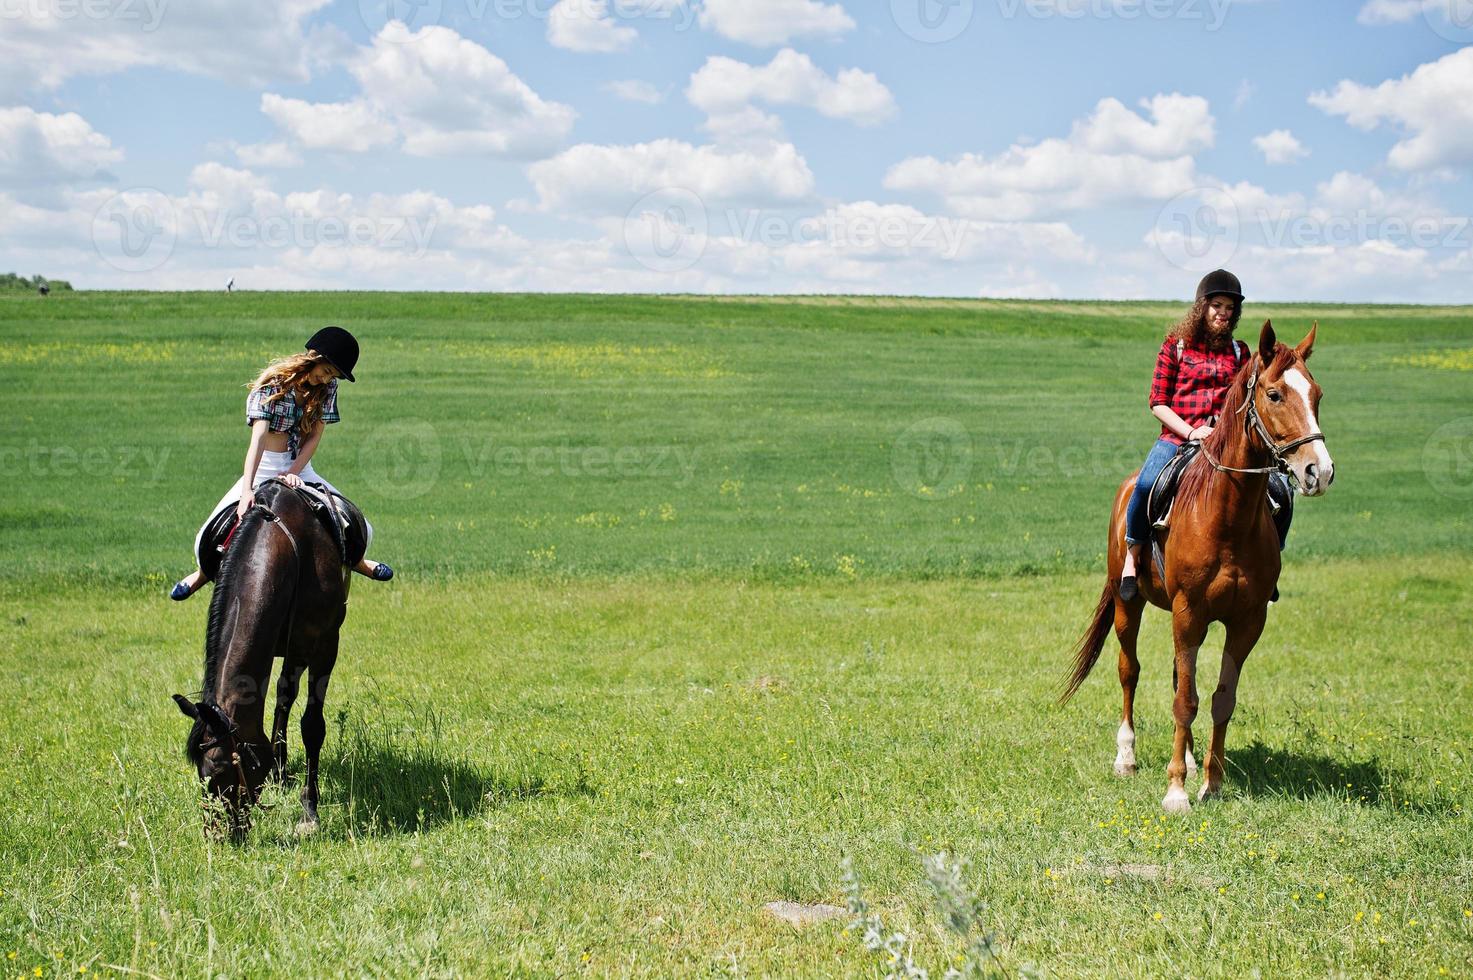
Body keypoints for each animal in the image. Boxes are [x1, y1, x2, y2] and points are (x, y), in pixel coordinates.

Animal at [173, 477, 349, 837]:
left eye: (221, 770)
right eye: (200, 773)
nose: (218, 836)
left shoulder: (324, 645)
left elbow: (312, 726)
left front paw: (310, 810)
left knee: (286, 696)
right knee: (283, 695)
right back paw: (280, 771)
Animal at [1060, 321, 1337, 807]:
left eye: (1317, 394)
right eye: (1274, 394)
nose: (1318, 472)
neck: (1227, 516)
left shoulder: (1246, 620)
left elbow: (1219, 698)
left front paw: (1211, 781)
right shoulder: (1188, 611)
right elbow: (1184, 701)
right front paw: (1176, 792)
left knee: (1177, 676)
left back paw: (1189, 761)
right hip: (1128, 604)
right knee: (1129, 671)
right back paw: (1127, 757)